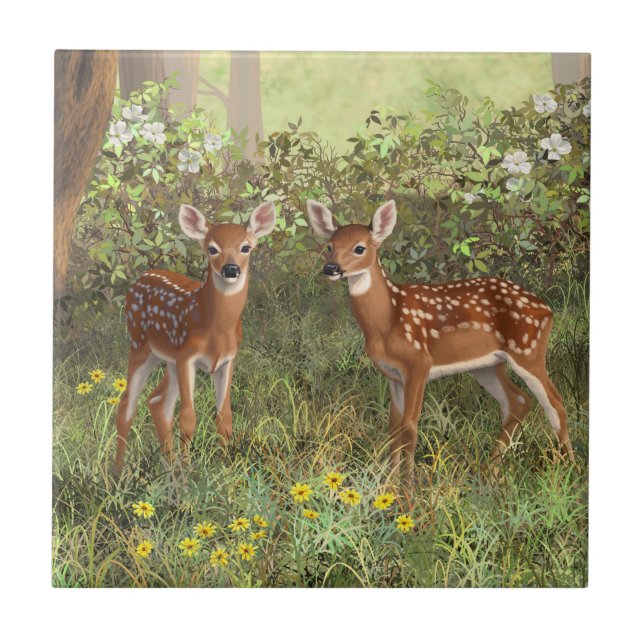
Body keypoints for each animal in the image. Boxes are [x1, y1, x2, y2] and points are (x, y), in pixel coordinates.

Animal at [114, 202, 276, 476]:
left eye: (246, 247)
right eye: (212, 248)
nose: (230, 269)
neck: (216, 330)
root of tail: (141, 277)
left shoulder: (227, 360)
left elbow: (224, 416)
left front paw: (225, 468)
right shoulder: (186, 357)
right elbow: (188, 417)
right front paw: (189, 473)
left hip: (168, 359)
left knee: (157, 402)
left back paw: (169, 470)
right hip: (140, 345)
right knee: (127, 404)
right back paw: (116, 474)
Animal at [306, 199, 573, 484]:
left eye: (359, 248)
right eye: (330, 246)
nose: (331, 268)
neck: (388, 320)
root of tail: (547, 309)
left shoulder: (419, 363)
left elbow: (409, 427)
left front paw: (409, 489)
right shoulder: (393, 375)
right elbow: (393, 429)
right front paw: (389, 484)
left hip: (528, 350)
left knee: (556, 404)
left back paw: (570, 469)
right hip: (487, 365)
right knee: (518, 402)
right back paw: (489, 475)